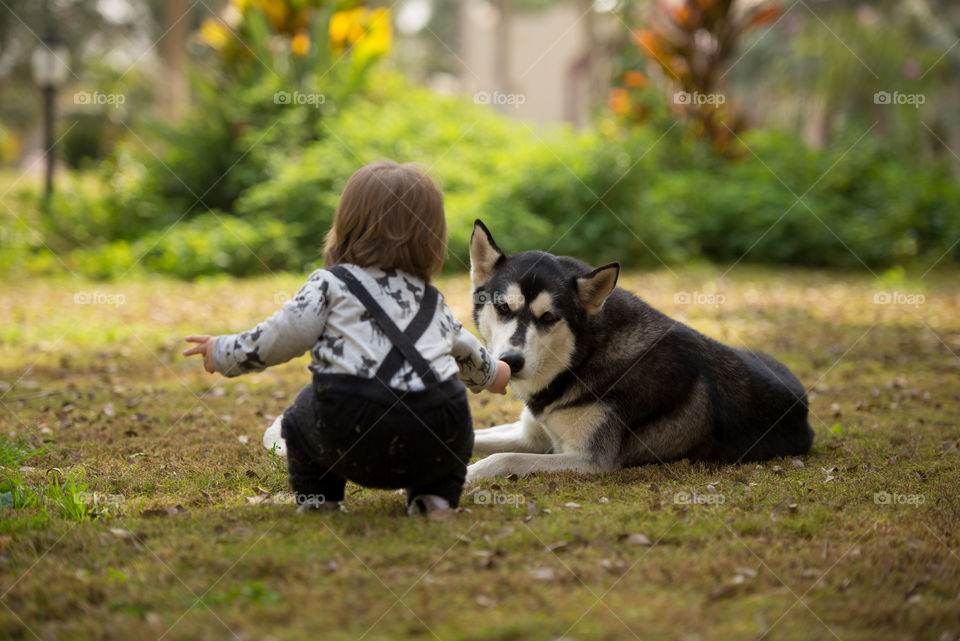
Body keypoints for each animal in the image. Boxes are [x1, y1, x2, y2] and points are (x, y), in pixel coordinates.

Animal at [468, 220, 812, 480]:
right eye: (503, 307)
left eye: (549, 318)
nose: (511, 361)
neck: (583, 358)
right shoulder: (530, 435)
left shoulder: (589, 461)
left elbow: (504, 458)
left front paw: (469, 476)